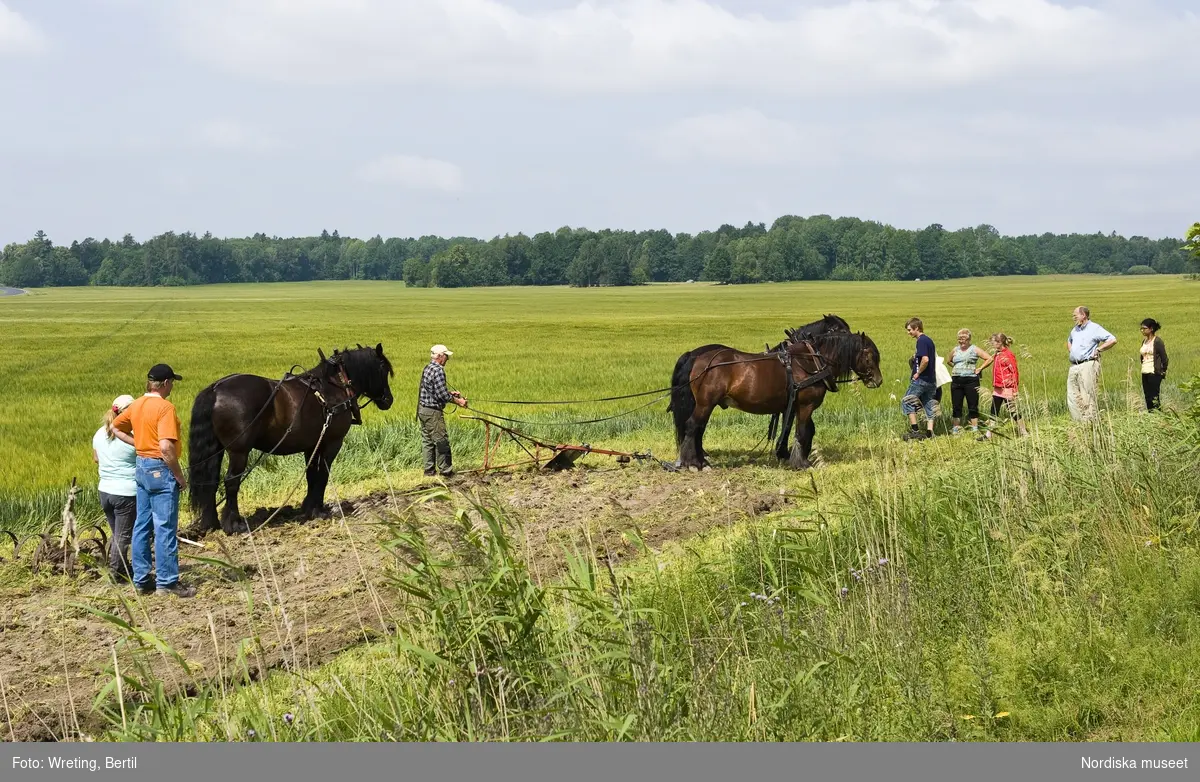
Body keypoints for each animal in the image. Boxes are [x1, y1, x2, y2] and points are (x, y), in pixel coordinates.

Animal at [187, 343, 393, 534]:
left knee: (210, 482)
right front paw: (319, 510)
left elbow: (312, 474)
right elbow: (323, 474)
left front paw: (309, 508)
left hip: (217, 449)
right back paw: (234, 523)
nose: (389, 400)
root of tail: (216, 388)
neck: (335, 386)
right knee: (231, 481)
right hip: (239, 451)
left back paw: (211, 523)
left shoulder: (313, 445)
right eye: (383, 369)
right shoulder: (332, 443)